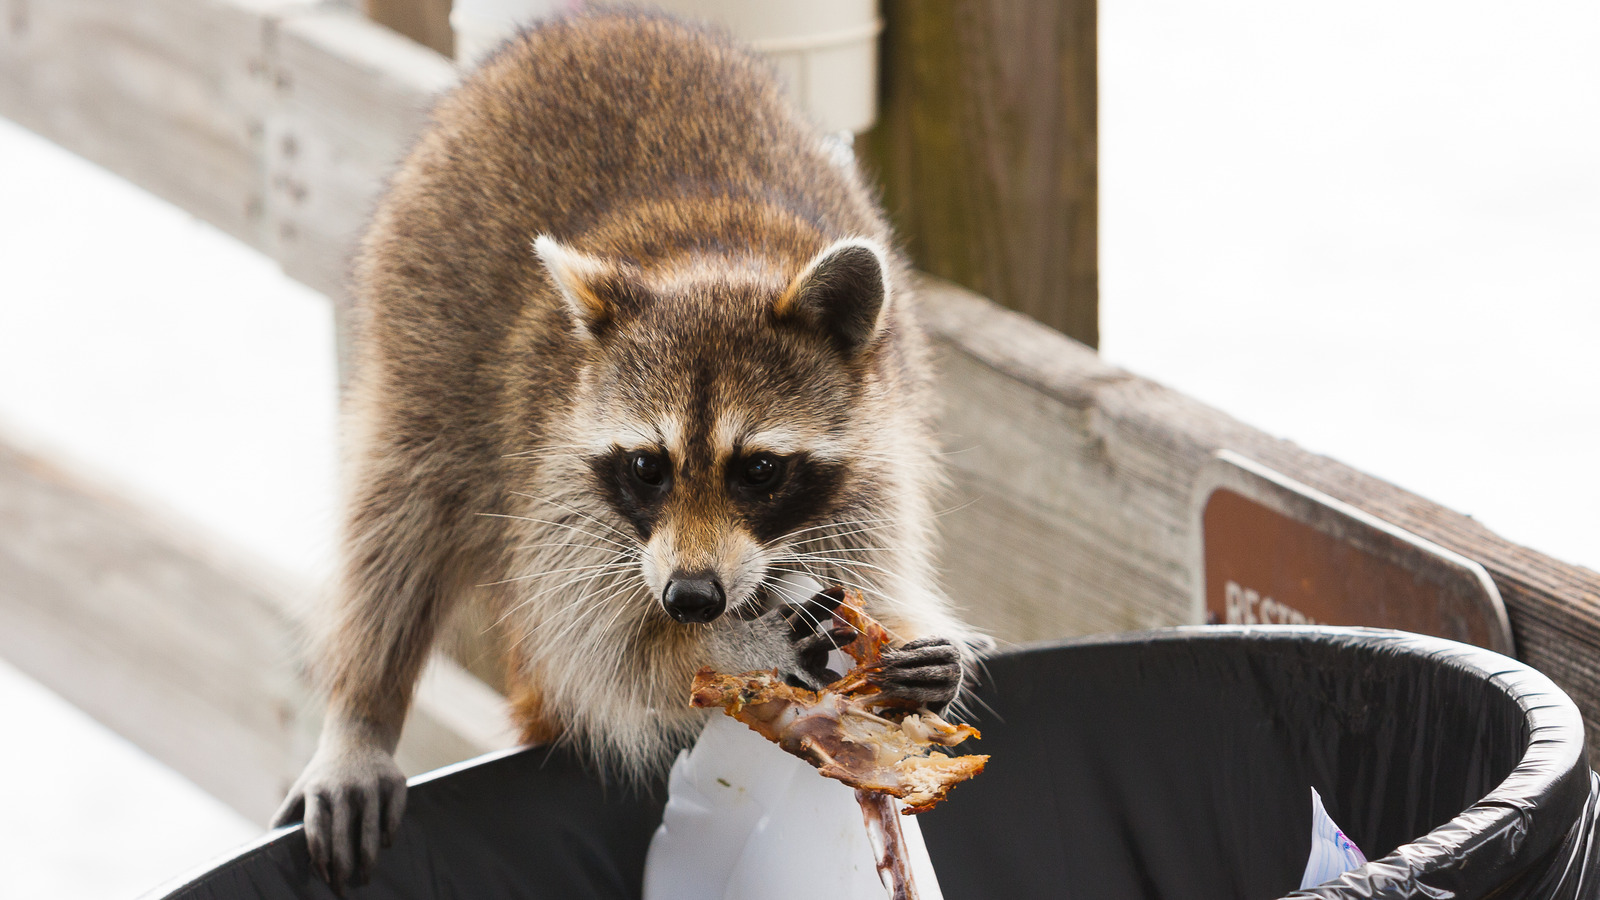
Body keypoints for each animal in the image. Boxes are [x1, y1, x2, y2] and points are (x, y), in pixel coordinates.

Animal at [275, 7, 985, 883]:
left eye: (759, 470)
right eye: (649, 467)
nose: (692, 599)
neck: (715, 257)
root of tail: (590, 21)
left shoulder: (879, 454)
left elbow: (877, 569)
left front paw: (927, 655)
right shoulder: (555, 486)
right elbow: (604, 657)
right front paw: (728, 642)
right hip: (423, 324)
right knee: (400, 510)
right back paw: (362, 713)